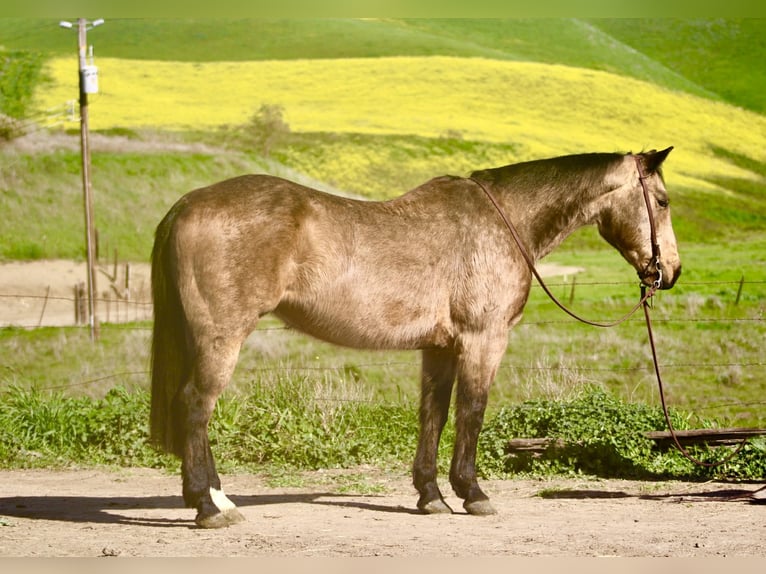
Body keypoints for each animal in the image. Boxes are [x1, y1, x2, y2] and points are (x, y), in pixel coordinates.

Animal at [149, 147, 681, 528]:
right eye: (662, 201)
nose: (670, 272)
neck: (504, 220)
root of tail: (185, 204)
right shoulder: (483, 340)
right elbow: (472, 411)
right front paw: (473, 493)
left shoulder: (439, 348)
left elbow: (434, 415)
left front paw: (431, 496)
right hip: (222, 339)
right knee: (195, 406)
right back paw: (210, 507)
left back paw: (215, 499)